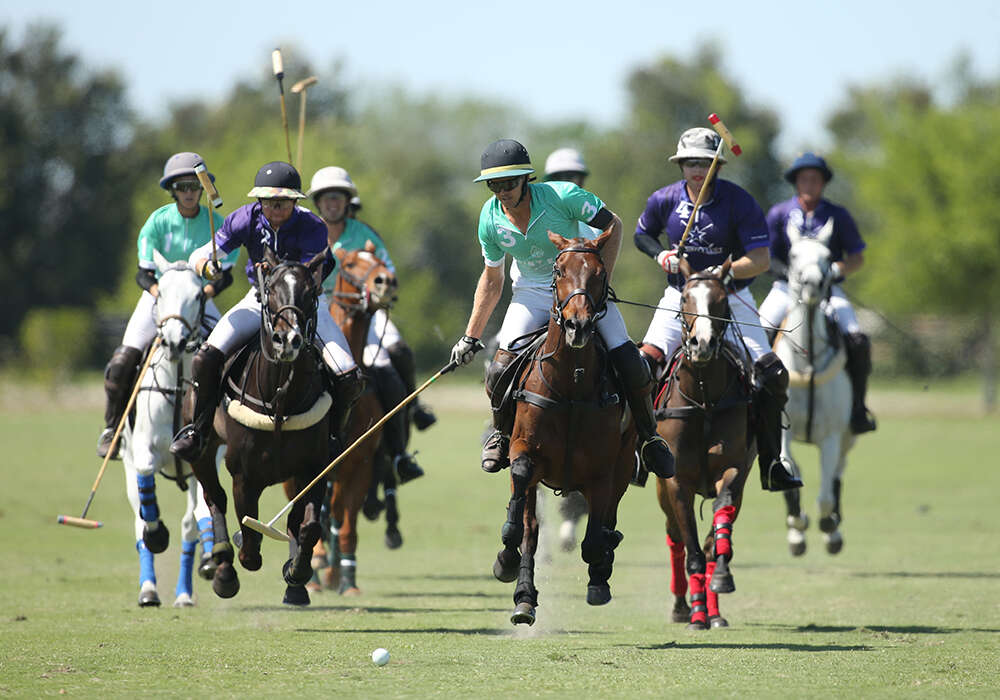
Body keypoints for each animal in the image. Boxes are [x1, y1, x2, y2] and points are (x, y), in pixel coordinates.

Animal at [120, 253, 223, 608]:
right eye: (160, 292)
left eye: (198, 295)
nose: (175, 342)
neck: (179, 388)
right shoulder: (144, 452)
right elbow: (147, 503)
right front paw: (157, 535)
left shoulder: (205, 457)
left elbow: (199, 514)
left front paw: (209, 560)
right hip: (126, 461)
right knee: (138, 519)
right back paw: (149, 590)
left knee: (189, 524)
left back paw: (185, 592)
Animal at [187, 247, 328, 608]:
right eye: (271, 291)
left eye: (311, 293)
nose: (288, 340)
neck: (280, 403)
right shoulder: (244, 476)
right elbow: (249, 542)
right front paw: (240, 549)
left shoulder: (314, 469)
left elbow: (307, 526)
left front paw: (297, 572)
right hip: (202, 450)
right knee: (214, 497)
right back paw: (223, 568)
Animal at [496, 232, 636, 628]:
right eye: (558, 270)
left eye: (600, 273)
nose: (579, 325)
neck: (571, 385)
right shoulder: (524, 452)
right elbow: (523, 519)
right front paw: (508, 561)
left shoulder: (604, 470)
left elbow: (594, 537)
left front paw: (600, 572)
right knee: (530, 527)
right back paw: (523, 595)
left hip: (624, 466)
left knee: (607, 518)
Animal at [652, 258, 752, 628]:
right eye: (685, 299)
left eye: (722, 301)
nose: (702, 344)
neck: (704, 398)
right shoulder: (676, 481)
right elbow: (690, 547)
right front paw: (695, 612)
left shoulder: (734, 469)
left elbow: (716, 534)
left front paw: (721, 579)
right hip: (660, 487)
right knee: (675, 537)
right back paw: (686, 607)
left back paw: (713, 611)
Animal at [768, 221, 856, 556]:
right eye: (793, 254)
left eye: (828, 256)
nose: (813, 285)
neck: (806, 360)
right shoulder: (781, 430)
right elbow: (787, 467)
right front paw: (797, 527)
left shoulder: (831, 435)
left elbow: (827, 495)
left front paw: (829, 527)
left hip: (848, 436)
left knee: (837, 476)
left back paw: (834, 530)